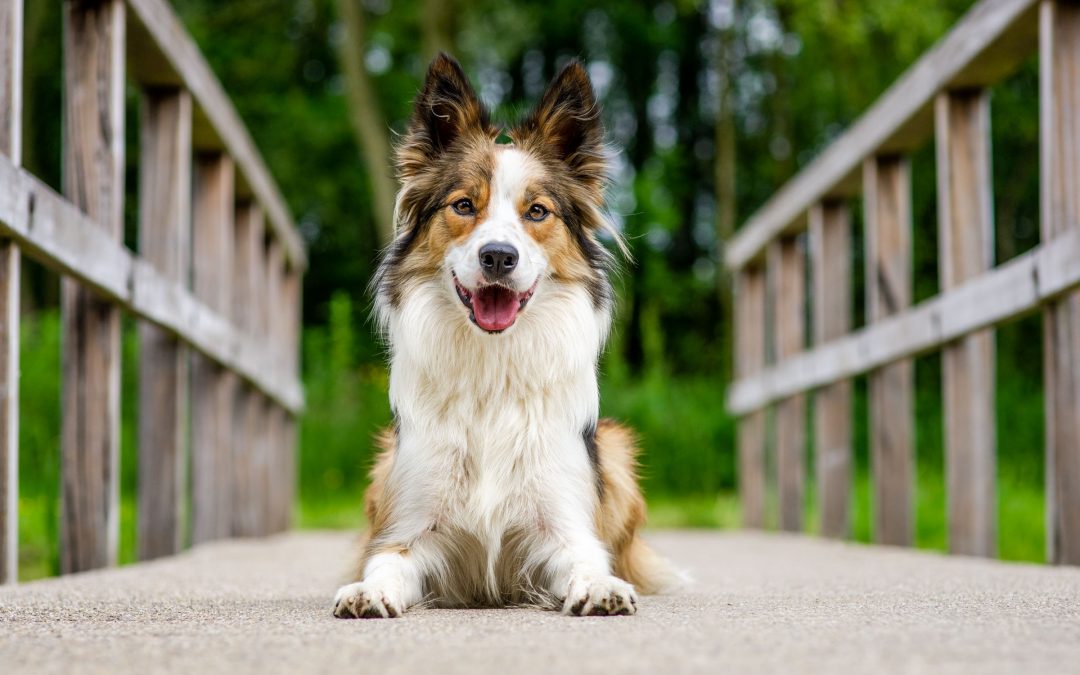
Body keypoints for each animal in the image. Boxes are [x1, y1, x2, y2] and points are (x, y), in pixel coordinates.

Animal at [332, 55, 678, 617]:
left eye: (537, 211)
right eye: (463, 206)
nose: (498, 256)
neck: (492, 369)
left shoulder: (564, 526)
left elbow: (587, 560)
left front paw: (600, 587)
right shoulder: (407, 529)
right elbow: (384, 563)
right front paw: (368, 590)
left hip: (616, 448)